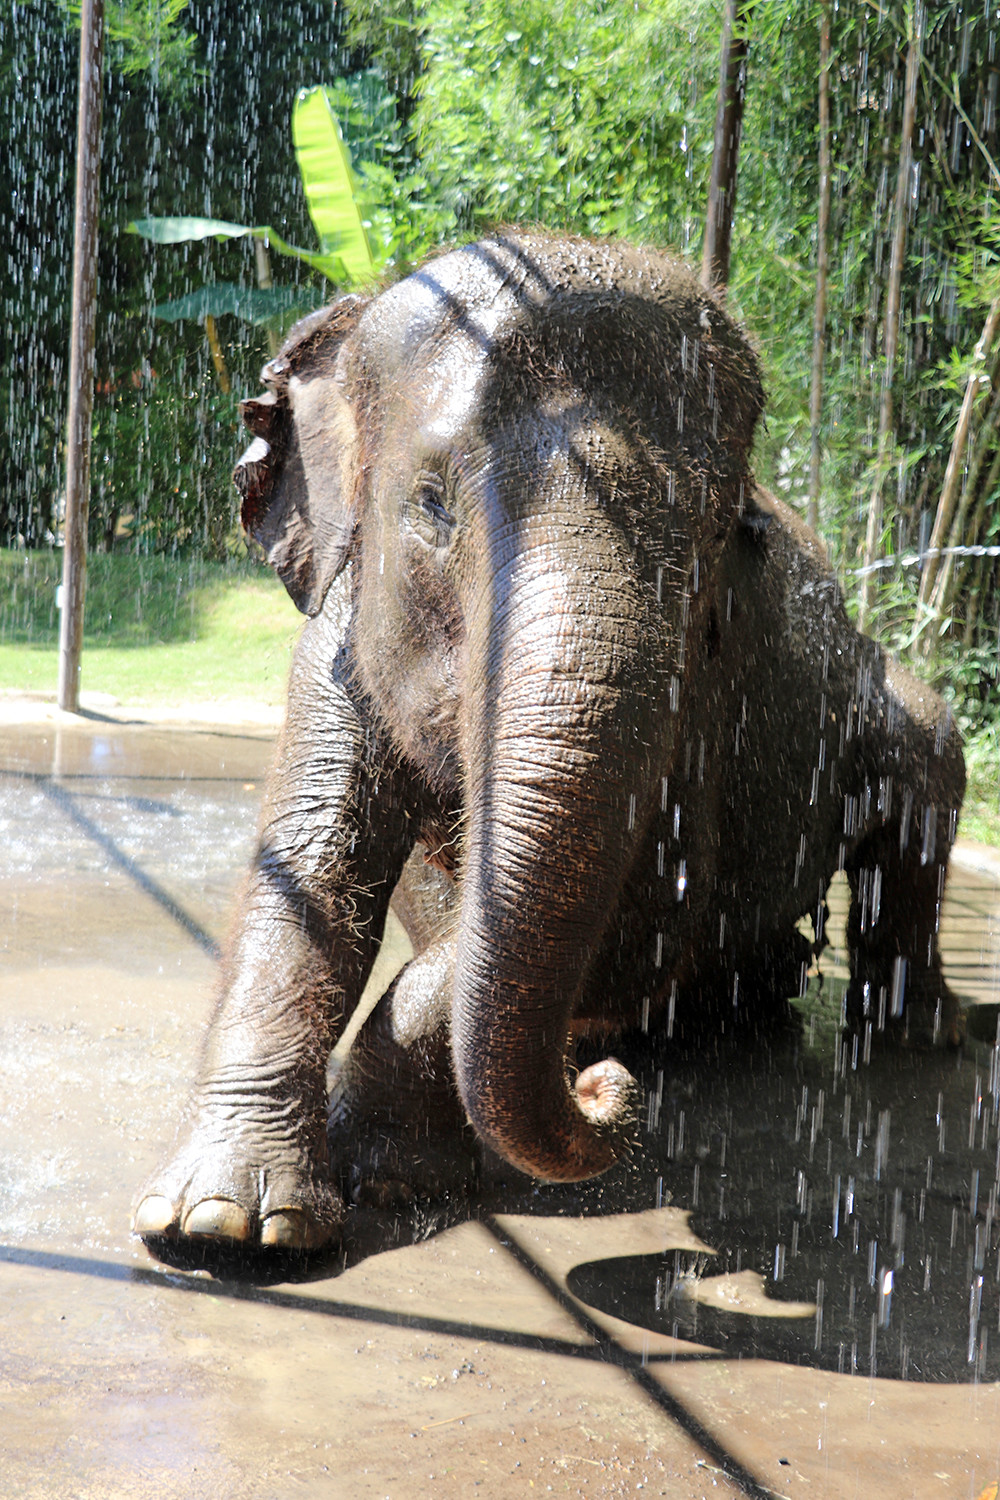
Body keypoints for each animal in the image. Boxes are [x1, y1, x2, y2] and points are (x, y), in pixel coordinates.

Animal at [132, 231, 965, 1253]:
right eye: (433, 503)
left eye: (721, 530)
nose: (605, 1090)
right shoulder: (335, 640)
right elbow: (308, 873)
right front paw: (220, 1225)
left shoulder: (701, 703)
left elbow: (648, 914)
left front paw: (393, 1178)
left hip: (884, 703)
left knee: (926, 763)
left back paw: (909, 1035)